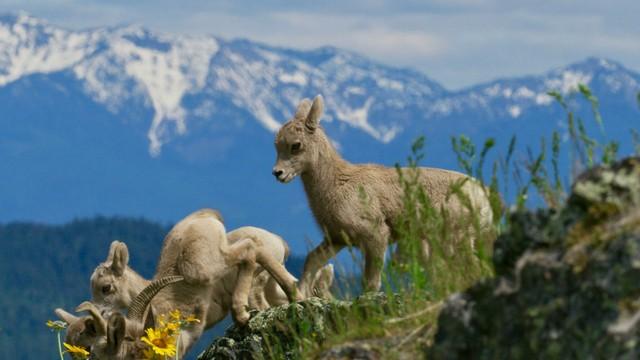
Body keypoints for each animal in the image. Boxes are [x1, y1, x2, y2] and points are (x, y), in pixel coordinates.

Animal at [272, 94, 496, 296]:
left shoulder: (376, 236)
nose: (277, 173)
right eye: (276, 145)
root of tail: (485, 199)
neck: (337, 184)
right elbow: (312, 261)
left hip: (455, 239)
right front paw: (300, 296)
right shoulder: (337, 239)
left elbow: (370, 283)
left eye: (296, 145)